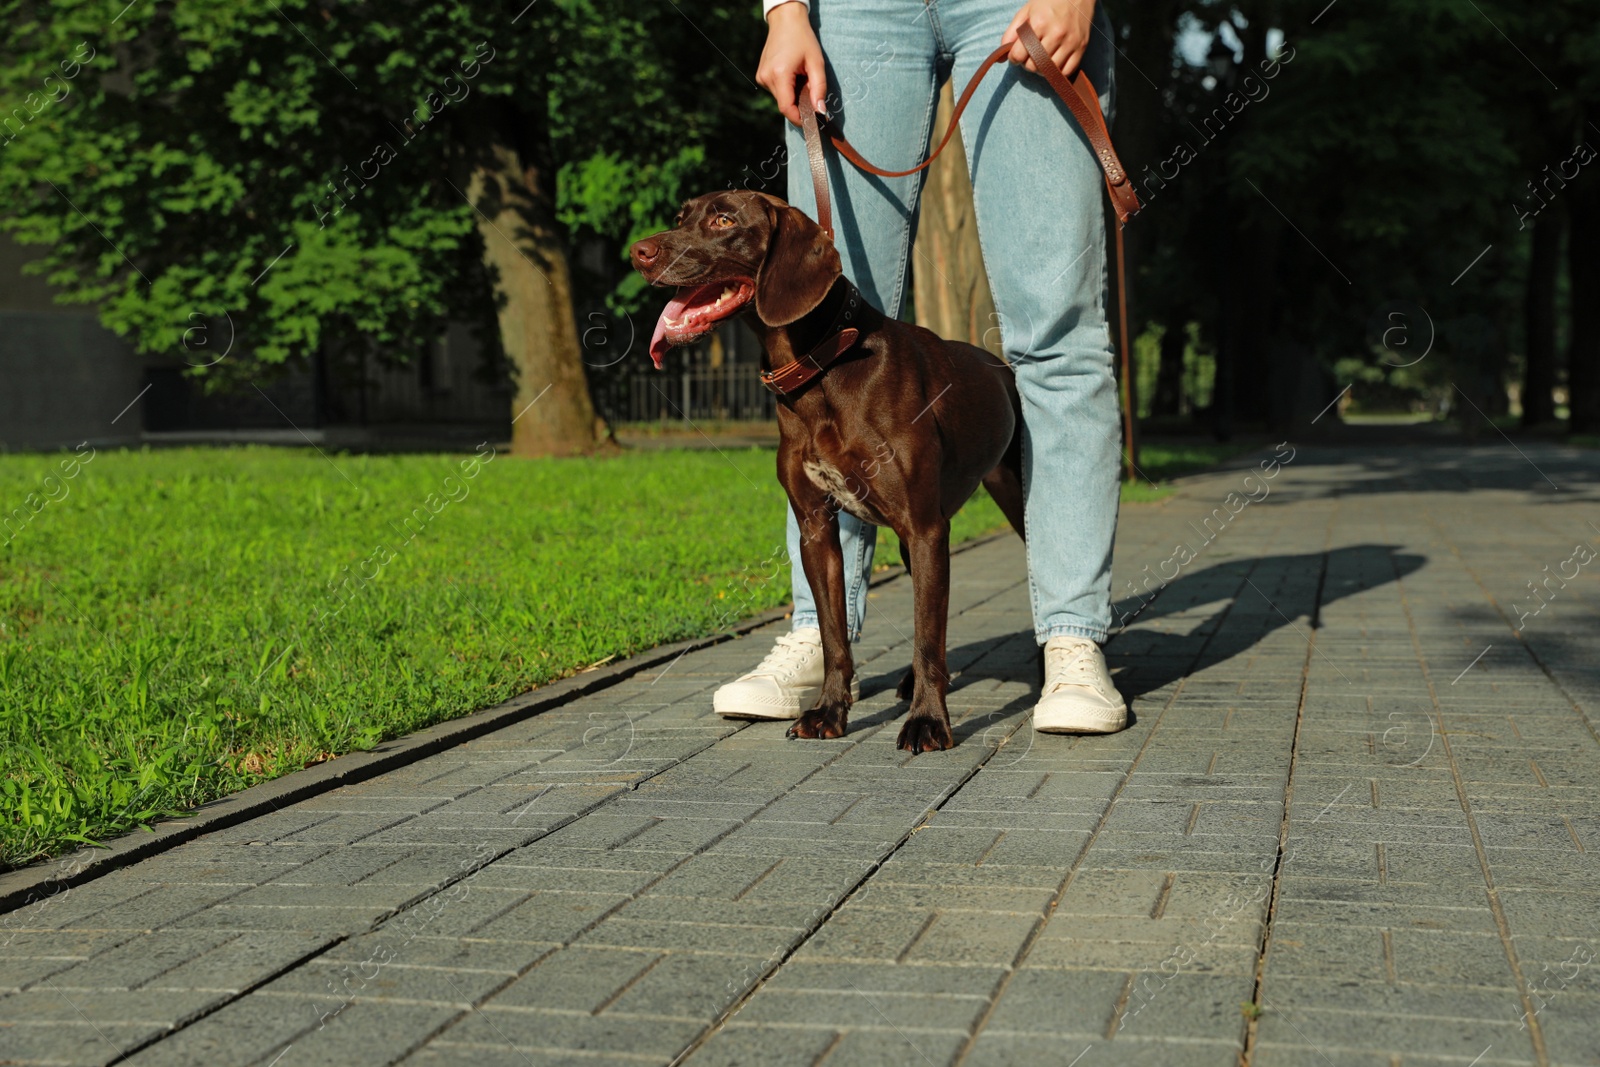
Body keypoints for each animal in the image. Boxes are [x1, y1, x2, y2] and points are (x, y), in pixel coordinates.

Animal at [627, 194, 1024, 758]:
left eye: (724, 220)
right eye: (682, 217)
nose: (639, 252)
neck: (824, 367)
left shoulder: (925, 527)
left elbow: (927, 636)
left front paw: (928, 721)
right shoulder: (819, 529)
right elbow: (835, 636)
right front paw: (830, 712)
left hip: (1011, 502)